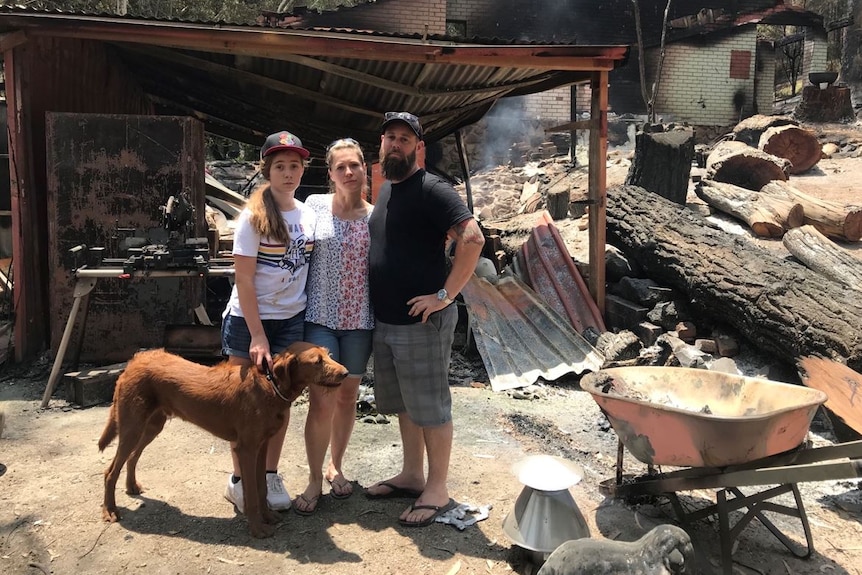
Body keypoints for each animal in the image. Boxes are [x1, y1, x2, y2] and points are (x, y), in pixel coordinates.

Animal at [98, 340, 348, 536]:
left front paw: (268, 516)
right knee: (110, 471)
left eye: (329, 355)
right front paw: (258, 530)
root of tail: (135, 360)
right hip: (132, 426)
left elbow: (261, 488)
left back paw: (132, 486)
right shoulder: (246, 449)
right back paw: (110, 510)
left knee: (132, 457)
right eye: (317, 361)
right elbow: (251, 493)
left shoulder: (262, 447)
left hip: (151, 426)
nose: (346, 373)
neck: (269, 386)